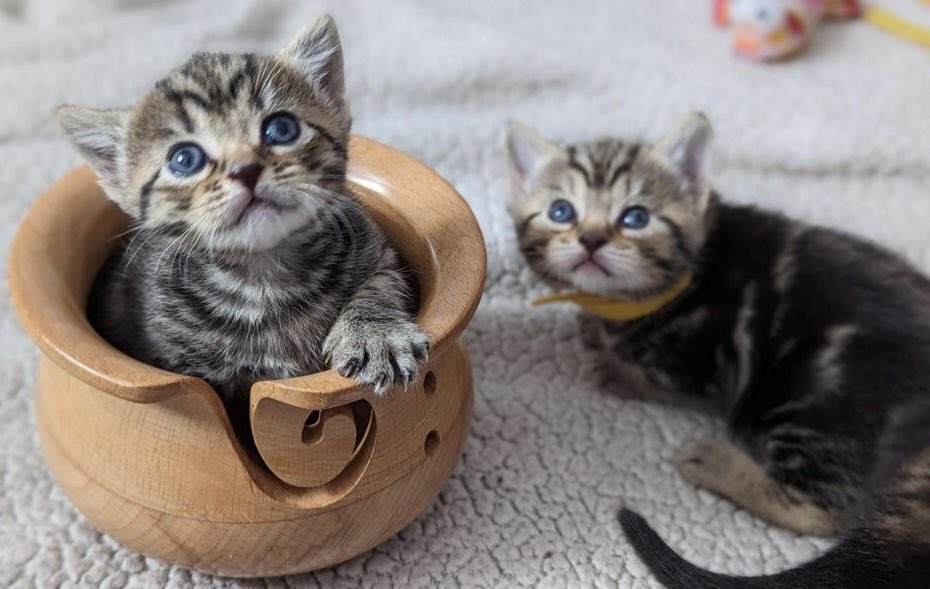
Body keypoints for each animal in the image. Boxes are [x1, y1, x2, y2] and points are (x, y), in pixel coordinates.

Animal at [59, 14, 430, 436]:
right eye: (184, 159)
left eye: (281, 129)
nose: (245, 169)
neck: (264, 276)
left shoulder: (377, 249)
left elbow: (381, 283)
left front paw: (375, 334)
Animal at [504, 113, 928, 588]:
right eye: (561, 212)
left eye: (636, 217)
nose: (591, 239)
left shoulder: (703, 363)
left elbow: (653, 377)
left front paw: (612, 365)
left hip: (813, 398)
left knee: (822, 510)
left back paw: (714, 462)